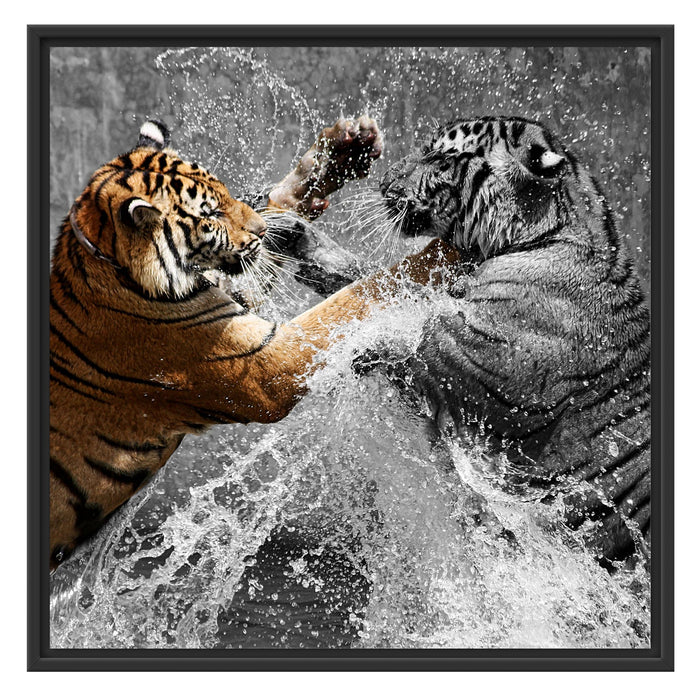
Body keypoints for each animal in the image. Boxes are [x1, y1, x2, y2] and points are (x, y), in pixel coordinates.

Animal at [49, 117, 459, 570]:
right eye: (210, 214)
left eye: (227, 194)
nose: (261, 231)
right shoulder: (265, 367)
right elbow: (352, 298)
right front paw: (440, 255)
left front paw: (343, 150)